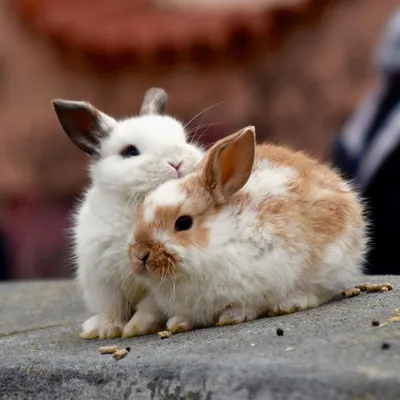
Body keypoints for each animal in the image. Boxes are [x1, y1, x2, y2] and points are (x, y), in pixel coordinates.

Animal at [51, 87, 203, 338]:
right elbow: (113, 308)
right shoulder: (104, 281)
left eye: (184, 139)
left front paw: (136, 328)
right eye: (130, 151)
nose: (176, 163)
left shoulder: (155, 284)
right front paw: (109, 330)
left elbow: (149, 307)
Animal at [129, 126, 368, 332]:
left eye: (183, 223)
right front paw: (177, 323)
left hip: (330, 263)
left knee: (319, 292)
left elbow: (248, 304)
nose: (140, 255)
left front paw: (231, 316)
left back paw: (290, 303)